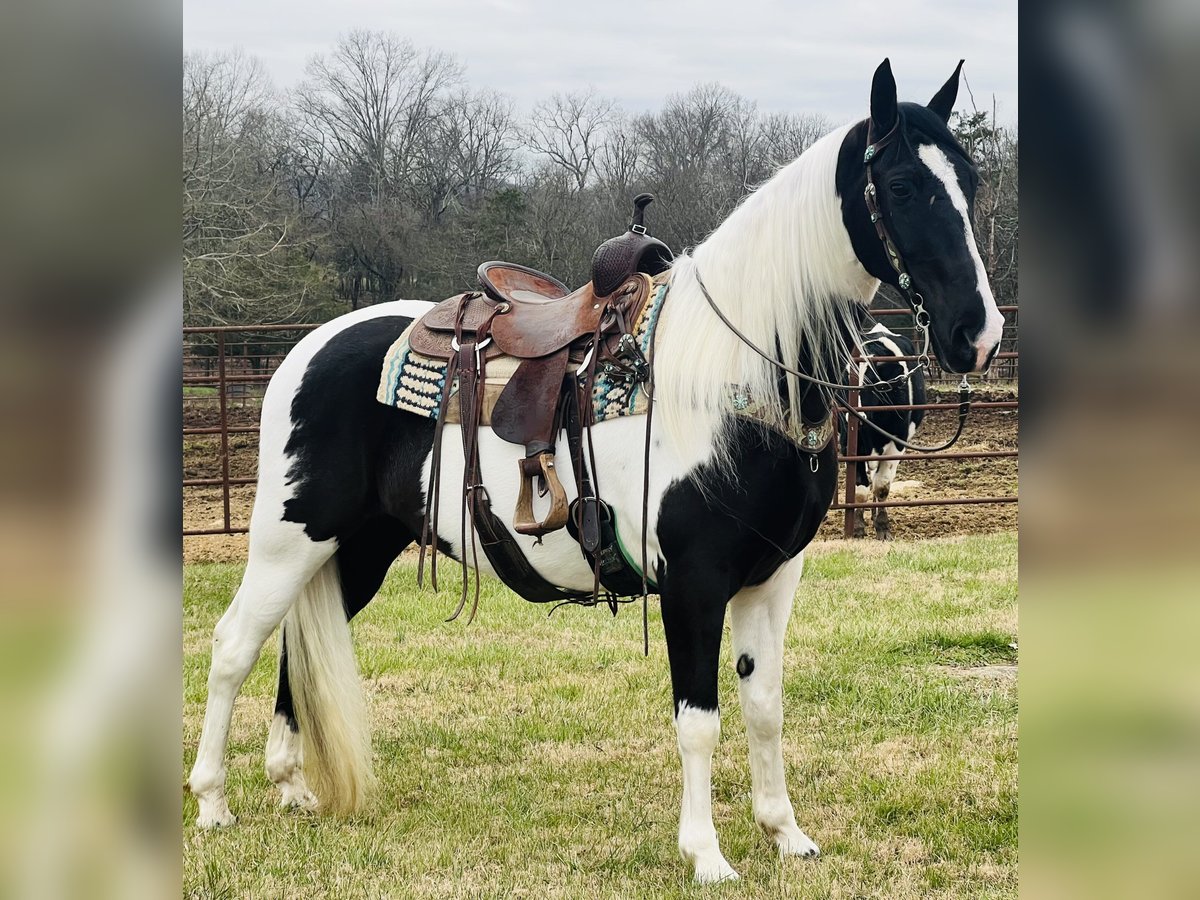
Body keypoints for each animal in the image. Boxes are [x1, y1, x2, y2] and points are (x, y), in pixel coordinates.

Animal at [844, 315, 928, 540]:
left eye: (875, 382)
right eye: (844, 379)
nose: (855, 415)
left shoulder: (896, 444)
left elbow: (882, 487)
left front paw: (882, 527)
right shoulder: (851, 443)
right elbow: (860, 489)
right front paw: (857, 528)